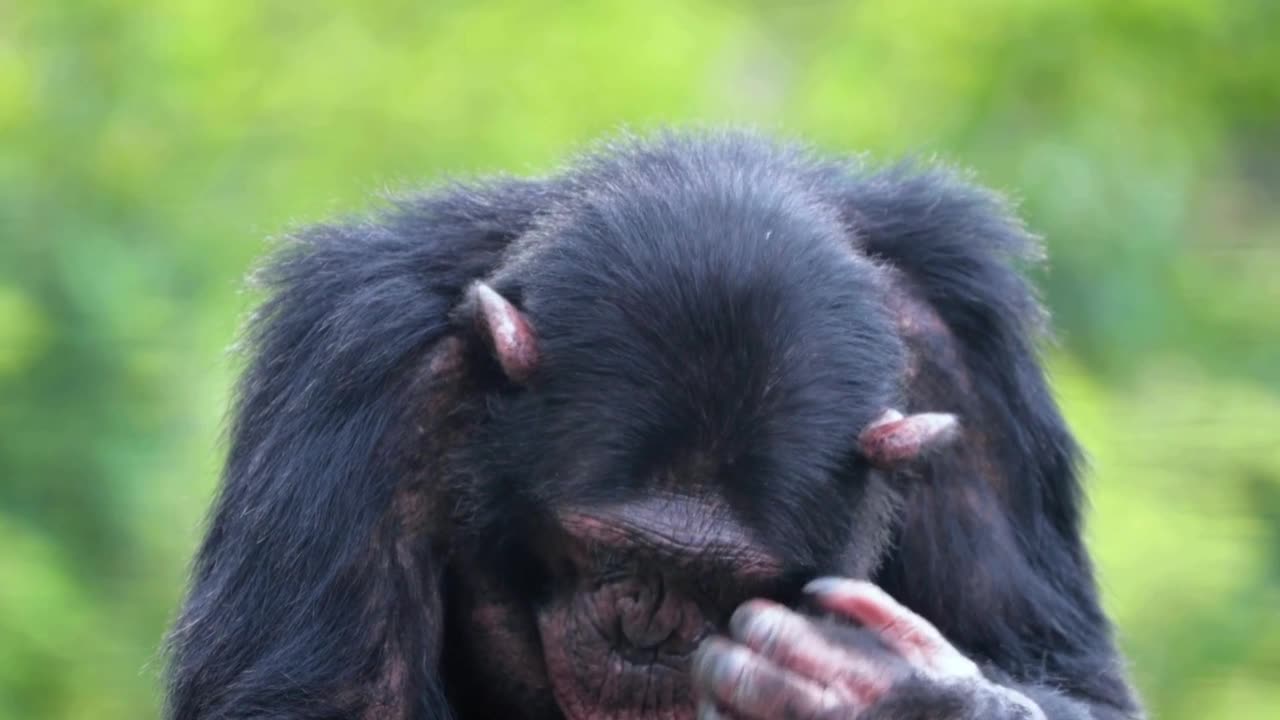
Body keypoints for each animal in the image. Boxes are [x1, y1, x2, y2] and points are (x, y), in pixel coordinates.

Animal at [165, 130, 1146, 717]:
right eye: (605, 552)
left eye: (725, 584)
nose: (645, 635)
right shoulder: (353, 366)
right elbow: (331, 699)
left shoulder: (966, 361)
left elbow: (1063, 669)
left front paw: (900, 695)